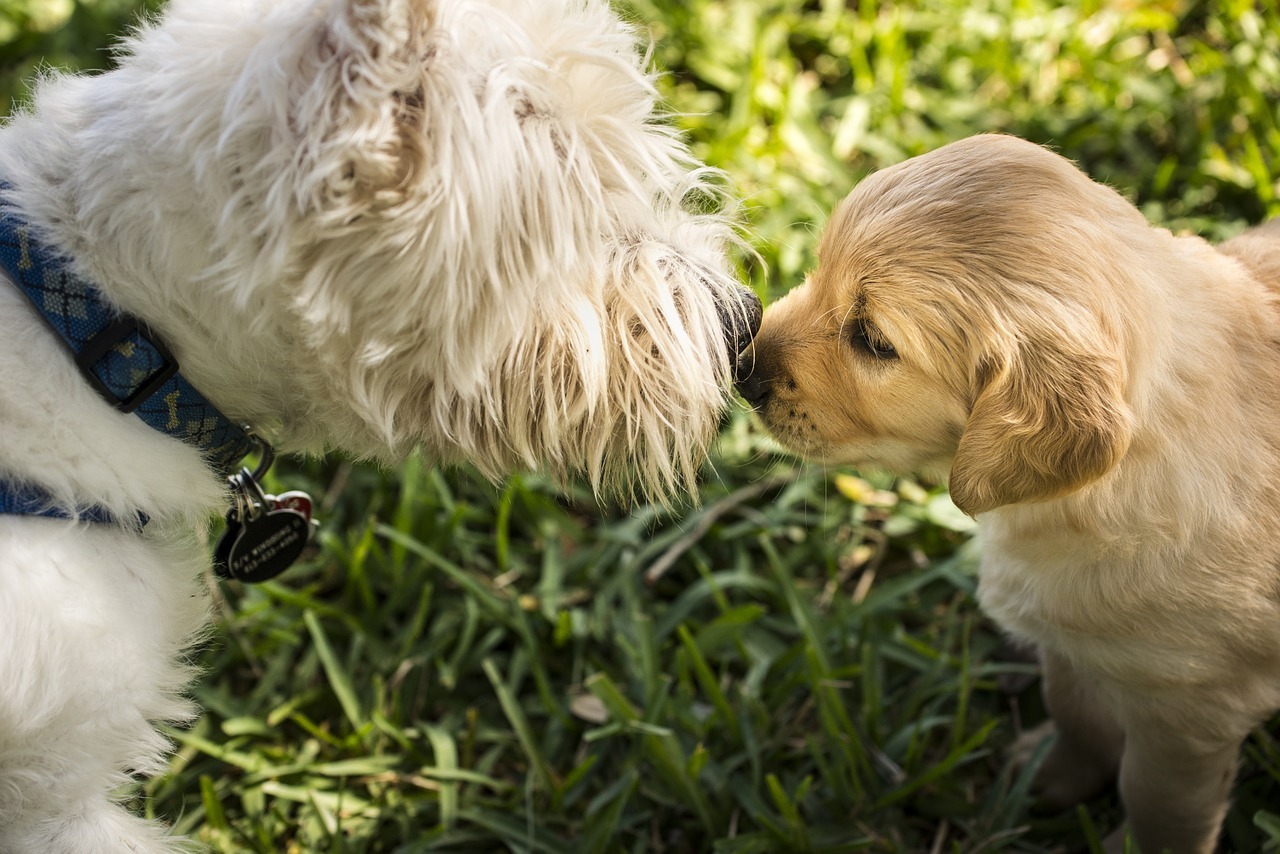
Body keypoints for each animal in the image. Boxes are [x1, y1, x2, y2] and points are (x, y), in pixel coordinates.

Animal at [737, 135, 1280, 854]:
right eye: (820, 269)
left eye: (872, 340)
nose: (741, 368)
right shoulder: (1068, 639)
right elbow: (1074, 709)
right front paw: (1051, 776)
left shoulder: (1188, 708)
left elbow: (1158, 803)